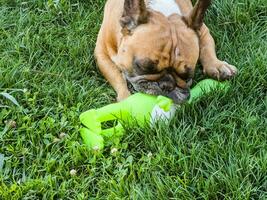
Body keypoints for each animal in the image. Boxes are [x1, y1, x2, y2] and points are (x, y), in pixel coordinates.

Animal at [94, 0, 239, 102]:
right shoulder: (102, 52)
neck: (163, 12)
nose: (167, 85)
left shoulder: (202, 30)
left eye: (187, 77)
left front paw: (218, 65)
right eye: (144, 67)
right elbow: (116, 76)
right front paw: (126, 98)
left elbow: (207, 48)